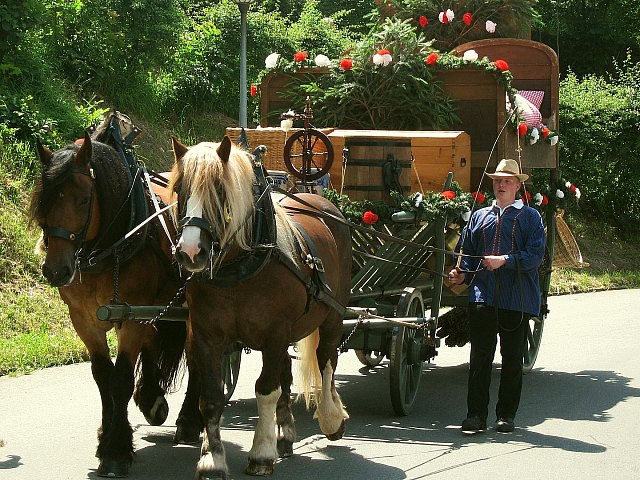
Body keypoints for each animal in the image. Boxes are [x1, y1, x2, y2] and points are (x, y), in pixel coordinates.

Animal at [27, 113, 201, 476]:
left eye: (83, 200)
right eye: (44, 201)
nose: (56, 271)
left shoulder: (131, 316)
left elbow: (119, 379)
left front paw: (117, 450)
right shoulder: (85, 320)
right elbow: (102, 378)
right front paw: (107, 436)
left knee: (197, 354)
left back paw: (191, 418)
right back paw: (152, 399)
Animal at [168, 137, 352, 478]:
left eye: (220, 189)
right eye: (179, 189)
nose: (190, 251)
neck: (241, 268)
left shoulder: (275, 333)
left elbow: (266, 390)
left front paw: (262, 453)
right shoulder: (205, 336)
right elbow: (211, 397)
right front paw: (212, 459)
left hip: (333, 315)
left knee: (326, 359)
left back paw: (331, 417)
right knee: (288, 372)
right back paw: (286, 434)